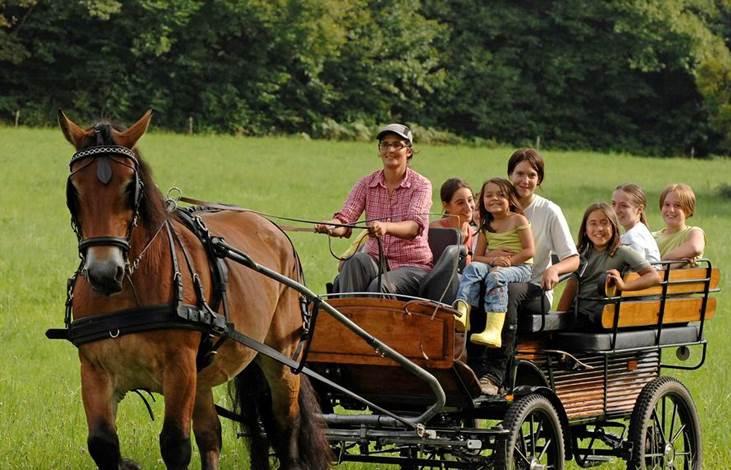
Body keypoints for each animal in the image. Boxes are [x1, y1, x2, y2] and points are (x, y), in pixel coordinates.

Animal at [57, 111, 332, 470]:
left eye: (131, 187)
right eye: (73, 190)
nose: (104, 273)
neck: (129, 291)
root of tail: (272, 227)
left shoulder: (180, 369)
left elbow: (175, 445)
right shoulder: (95, 370)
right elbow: (103, 445)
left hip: (280, 360)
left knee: (285, 426)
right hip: (206, 374)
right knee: (212, 434)